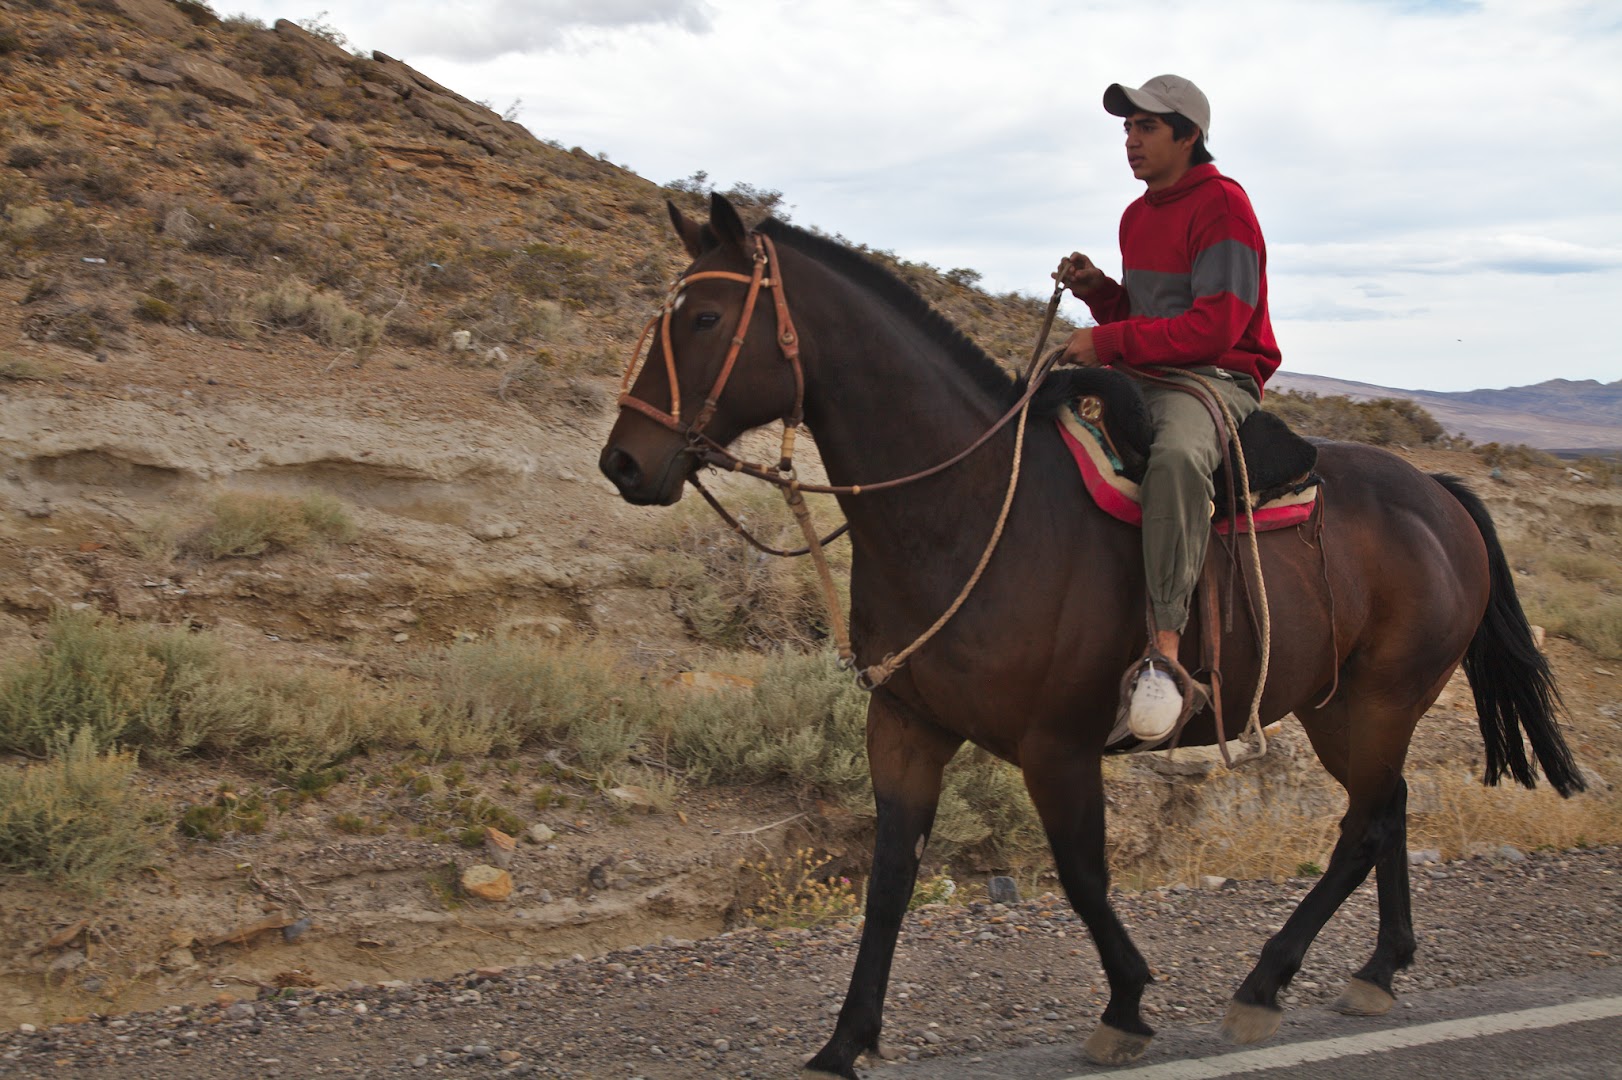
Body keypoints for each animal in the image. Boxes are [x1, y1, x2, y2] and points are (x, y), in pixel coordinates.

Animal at [600, 195, 1583, 1076]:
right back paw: (1378, 968)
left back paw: (1264, 983)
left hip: (1380, 700)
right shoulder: (907, 727)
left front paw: (1126, 1005)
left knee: (1363, 825)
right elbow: (888, 879)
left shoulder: (1057, 745)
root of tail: (1436, 494)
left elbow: (1081, 876)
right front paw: (844, 1045)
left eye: (705, 317)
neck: (966, 508)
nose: (623, 462)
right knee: (1390, 809)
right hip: (1339, 706)